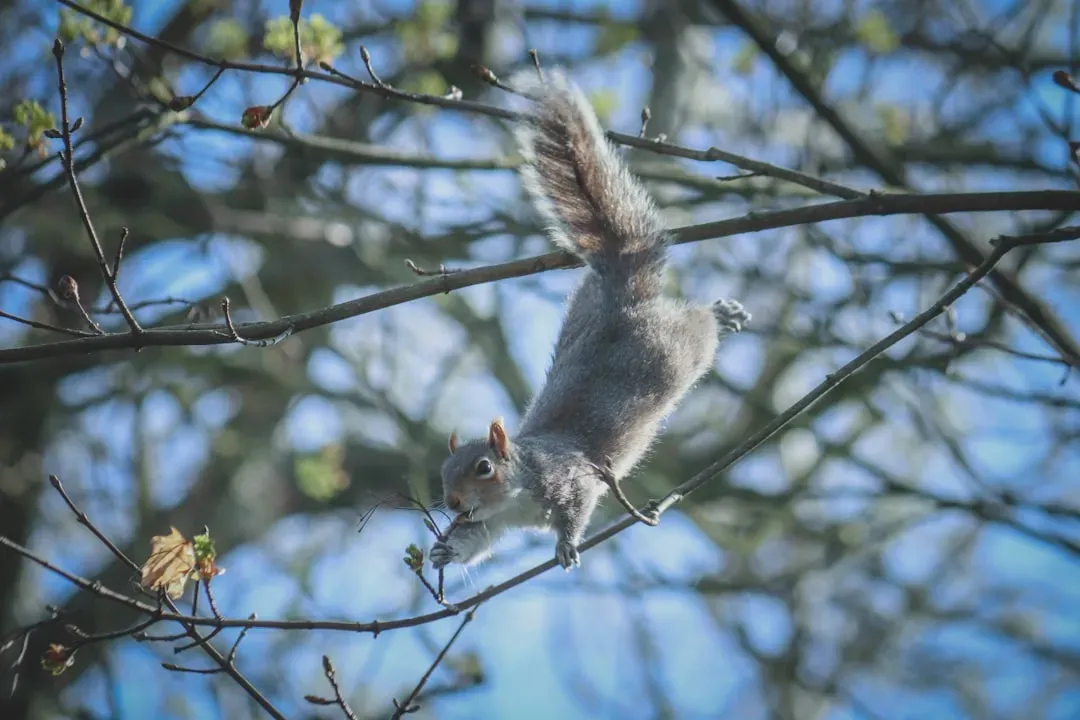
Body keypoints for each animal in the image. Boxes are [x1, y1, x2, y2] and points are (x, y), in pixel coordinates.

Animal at [430, 69, 750, 572]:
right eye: (442, 472)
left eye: (484, 467)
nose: (453, 503)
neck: (517, 494)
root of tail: (622, 290)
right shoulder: (489, 524)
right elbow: (474, 542)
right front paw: (444, 549)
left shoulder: (572, 479)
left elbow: (576, 512)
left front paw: (566, 544)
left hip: (674, 352)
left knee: (698, 326)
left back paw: (722, 314)